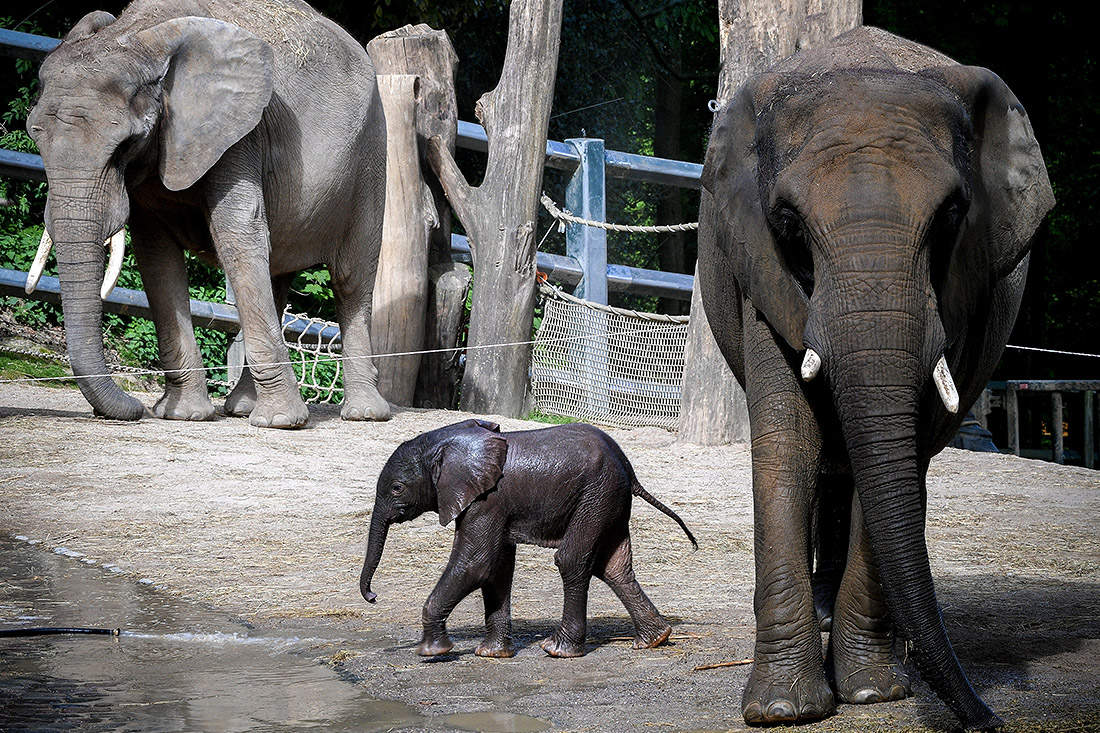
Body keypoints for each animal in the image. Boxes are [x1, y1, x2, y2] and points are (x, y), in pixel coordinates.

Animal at [24, 0, 391, 429]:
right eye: (34, 138)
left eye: (125, 145)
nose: (132, 409)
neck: (135, 39)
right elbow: (156, 255)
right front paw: (181, 416)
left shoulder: (239, 133)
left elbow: (236, 232)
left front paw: (280, 423)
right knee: (277, 273)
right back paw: (244, 407)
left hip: (371, 152)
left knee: (351, 279)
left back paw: (362, 414)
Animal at [360, 416, 695, 655]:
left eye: (397, 488)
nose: (374, 597)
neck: (448, 440)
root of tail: (628, 466)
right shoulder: (489, 503)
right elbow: (496, 568)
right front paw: (492, 654)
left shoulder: (487, 500)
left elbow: (475, 564)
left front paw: (431, 652)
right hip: (608, 499)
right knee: (614, 568)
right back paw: (654, 640)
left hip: (596, 495)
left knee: (571, 560)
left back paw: (558, 650)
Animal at [695, 25, 1056, 726]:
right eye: (788, 223)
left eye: (951, 217)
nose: (991, 719)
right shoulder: (761, 266)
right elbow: (787, 441)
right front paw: (782, 710)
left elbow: (901, 447)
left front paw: (872, 693)